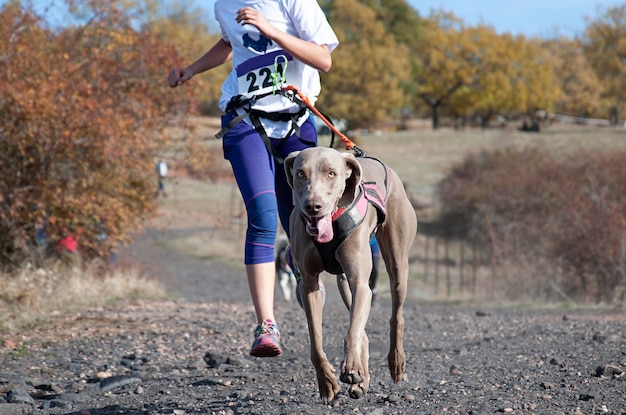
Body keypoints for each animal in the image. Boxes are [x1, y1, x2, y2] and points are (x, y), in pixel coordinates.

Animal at [282, 148, 414, 404]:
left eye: (331, 173)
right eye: (300, 173)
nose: (313, 206)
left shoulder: (361, 283)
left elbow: (353, 330)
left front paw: (352, 368)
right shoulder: (308, 284)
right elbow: (316, 343)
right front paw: (327, 383)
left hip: (397, 263)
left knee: (396, 316)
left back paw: (395, 362)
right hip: (343, 282)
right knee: (364, 332)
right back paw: (362, 382)